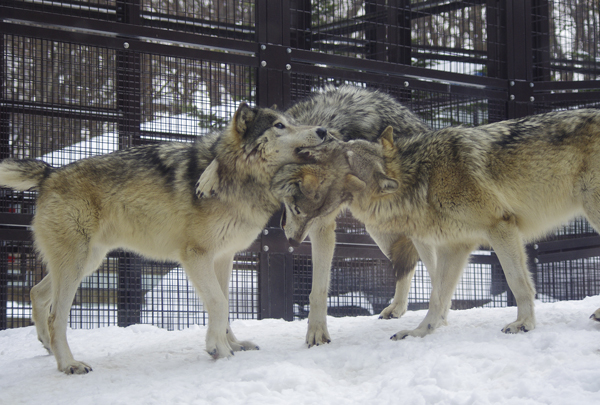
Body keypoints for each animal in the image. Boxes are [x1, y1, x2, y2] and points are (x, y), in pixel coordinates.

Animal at [0, 102, 328, 374]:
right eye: (280, 126)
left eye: (293, 121)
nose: (323, 130)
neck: (240, 177)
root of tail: (50, 173)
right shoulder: (195, 255)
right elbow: (219, 304)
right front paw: (219, 349)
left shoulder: (223, 257)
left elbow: (225, 305)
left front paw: (233, 345)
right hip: (76, 264)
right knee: (56, 316)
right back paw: (69, 364)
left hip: (87, 262)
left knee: (35, 293)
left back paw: (48, 348)